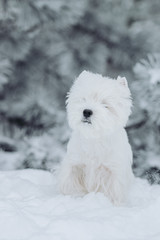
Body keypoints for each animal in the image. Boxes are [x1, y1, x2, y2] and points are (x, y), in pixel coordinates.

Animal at [58, 71, 134, 204]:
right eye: (84, 99)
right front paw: (73, 196)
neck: (94, 139)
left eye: (105, 105)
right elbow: (69, 184)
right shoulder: (74, 164)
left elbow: (114, 192)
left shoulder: (113, 171)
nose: (87, 111)